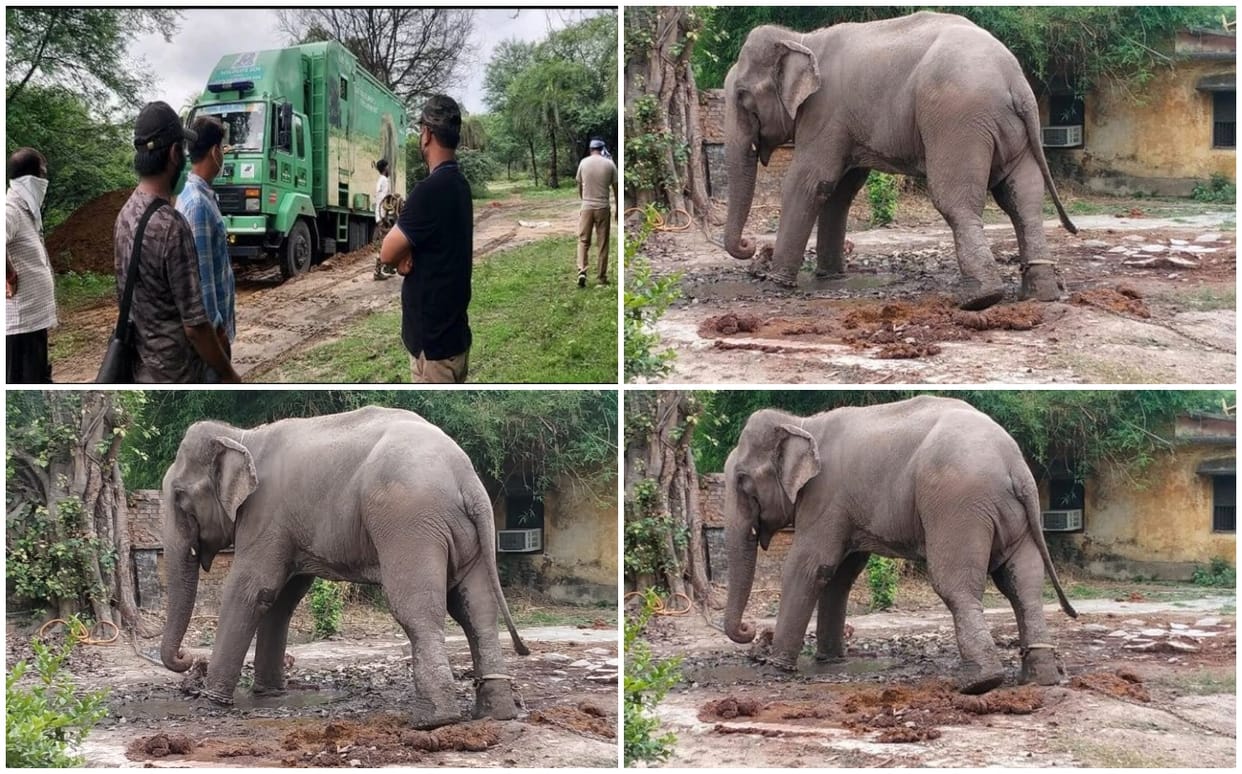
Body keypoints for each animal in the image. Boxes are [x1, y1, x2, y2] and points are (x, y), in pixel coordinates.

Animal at [158, 406, 529, 729]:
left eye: (179, 497)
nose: (187, 658)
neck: (242, 436)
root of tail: (468, 479)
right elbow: (282, 597)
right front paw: (269, 695)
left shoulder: (266, 514)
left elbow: (252, 589)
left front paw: (212, 701)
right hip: (464, 535)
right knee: (477, 611)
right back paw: (496, 714)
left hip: (410, 523)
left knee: (417, 610)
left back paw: (433, 720)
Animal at [721, 396, 1077, 695]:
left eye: (742, 481)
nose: (750, 630)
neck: (802, 423)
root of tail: (1016, 464)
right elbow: (841, 574)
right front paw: (830, 661)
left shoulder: (825, 496)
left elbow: (809, 566)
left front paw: (776, 668)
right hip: (1009, 514)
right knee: (1023, 585)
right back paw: (1040, 678)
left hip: (957, 505)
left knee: (955, 585)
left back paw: (979, 683)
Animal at [722, 11, 1078, 311]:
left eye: (742, 97)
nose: (750, 245)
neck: (802, 39)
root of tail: (1016, 79)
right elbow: (841, 189)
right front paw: (831, 276)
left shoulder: (825, 112)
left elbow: (810, 181)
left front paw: (776, 284)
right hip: (1010, 130)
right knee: (1023, 200)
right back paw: (1041, 294)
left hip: (958, 121)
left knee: (955, 201)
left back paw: (979, 299)